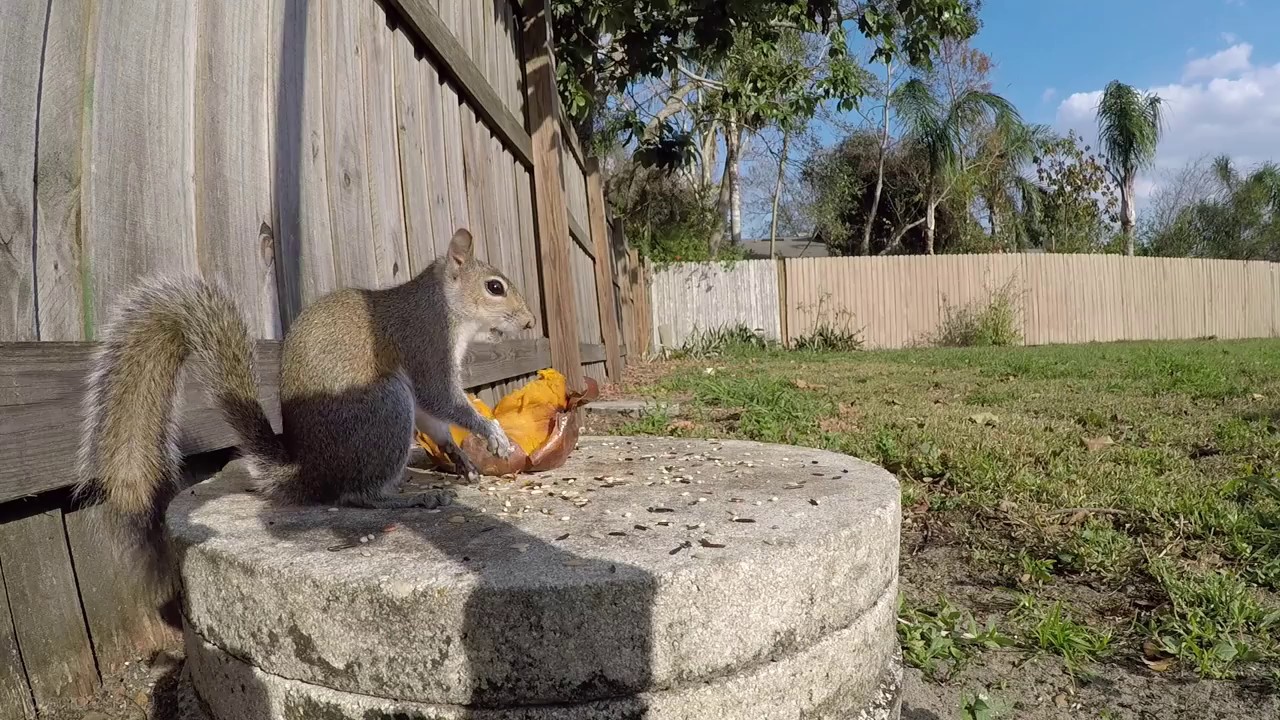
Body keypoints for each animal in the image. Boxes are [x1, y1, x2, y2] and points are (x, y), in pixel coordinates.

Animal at [74, 228, 536, 601]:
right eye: (495, 287)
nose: (531, 322)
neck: (443, 305)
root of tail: (308, 470)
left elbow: (436, 420)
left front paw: (462, 458)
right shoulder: (426, 343)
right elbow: (441, 398)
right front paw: (491, 432)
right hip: (385, 406)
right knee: (356, 496)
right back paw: (411, 498)